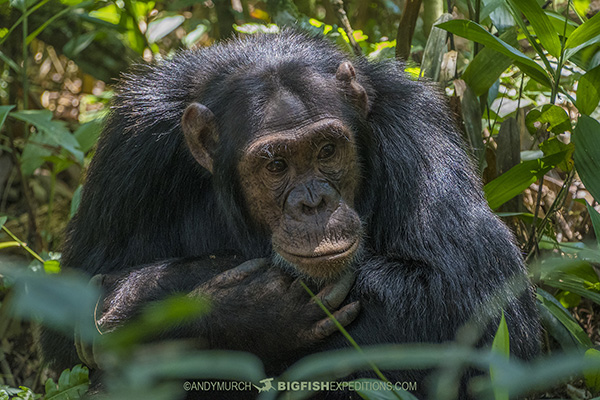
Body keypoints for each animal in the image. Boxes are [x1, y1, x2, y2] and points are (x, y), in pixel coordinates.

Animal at [39, 28, 540, 396]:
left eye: (327, 150)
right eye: (276, 165)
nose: (312, 202)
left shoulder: (416, 128)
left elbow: (474, 298)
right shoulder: (131, 143)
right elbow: (71, 305)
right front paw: (250, 311)